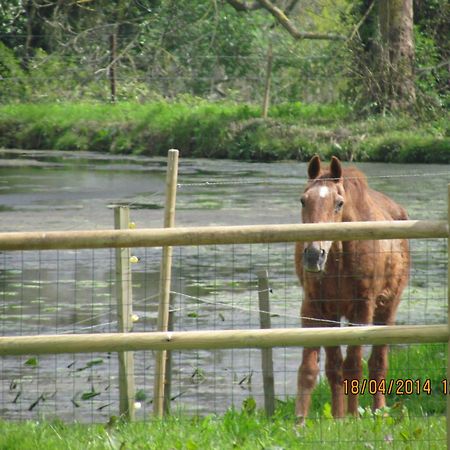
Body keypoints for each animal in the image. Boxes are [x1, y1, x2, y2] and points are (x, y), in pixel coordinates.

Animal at [294, 156, 410, 424]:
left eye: (339, 203)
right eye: (304, 200)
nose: (313, 255)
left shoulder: (363, 307)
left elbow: (354, 365)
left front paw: (354, 416)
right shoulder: (317, 309)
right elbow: (319, 367)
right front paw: (308, 420)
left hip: (386, 309)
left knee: (378, 363)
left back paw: (379, 411)